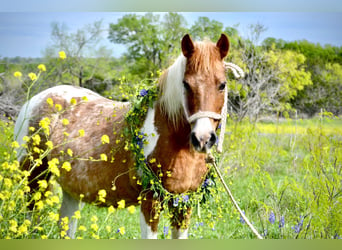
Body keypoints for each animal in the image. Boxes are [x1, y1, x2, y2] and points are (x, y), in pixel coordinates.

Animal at [14, 34, 231, 239]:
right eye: (185, 84)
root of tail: (34, 100)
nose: (203, 139)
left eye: (222, 84)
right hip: (33, 179)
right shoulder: (150, 199)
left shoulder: (184, 201)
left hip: (71, 191)